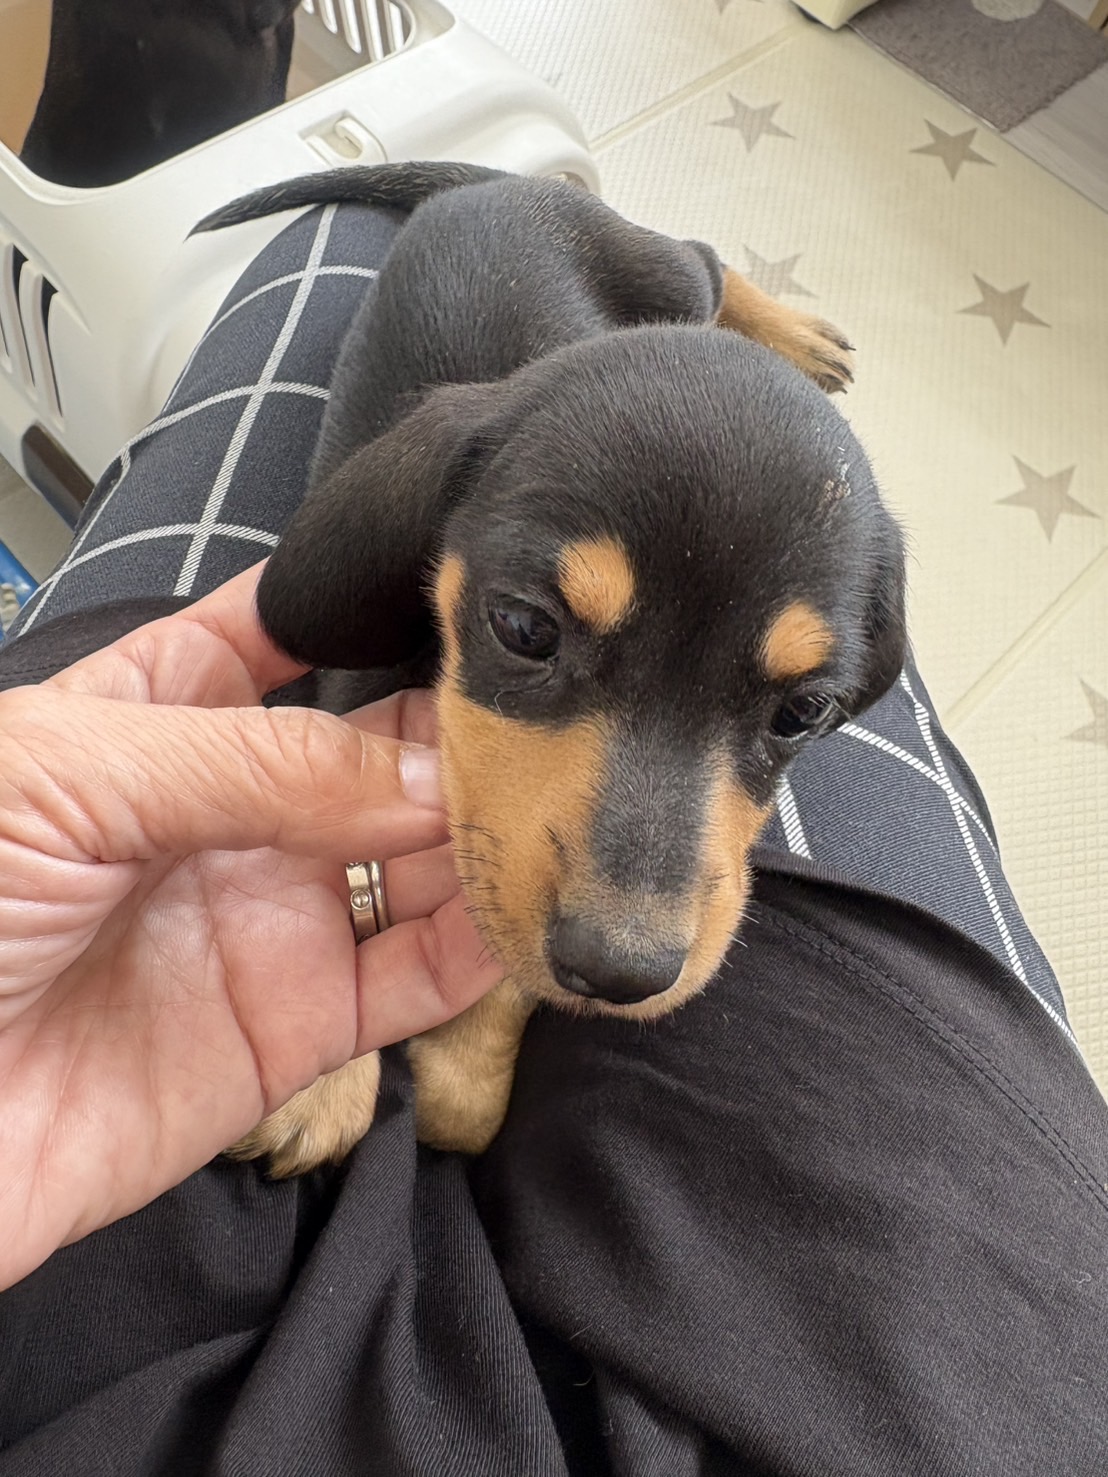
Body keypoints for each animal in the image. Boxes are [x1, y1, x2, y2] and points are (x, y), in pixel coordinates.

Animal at [192, 163, 906, 1175]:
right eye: (526, 628)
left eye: (803, 712)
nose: (621, 971)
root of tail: (514, 178)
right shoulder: (352, 690)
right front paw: (322, 1064)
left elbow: (498, 988)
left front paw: (464, 1061)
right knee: (702, 254)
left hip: (662, 280)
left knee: (707, 262)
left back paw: (793, 333)